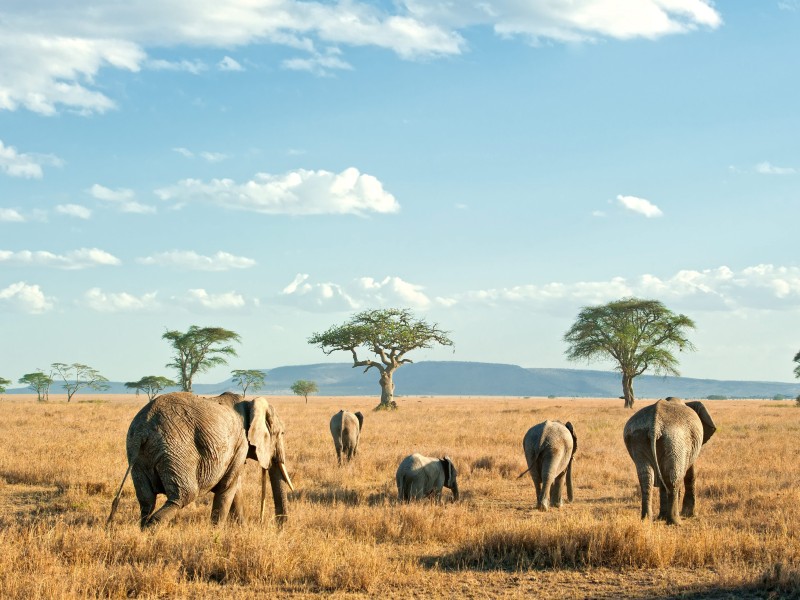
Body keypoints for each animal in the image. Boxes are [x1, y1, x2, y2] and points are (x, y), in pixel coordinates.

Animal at [107, 391, 294, 529]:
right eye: (281, 433)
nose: (279, 528)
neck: (250, 403)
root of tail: (143, 429)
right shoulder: (240, 443)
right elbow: (228, 487)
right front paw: (215, 534)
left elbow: (235, 488)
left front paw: (242, 530)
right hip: (176, 450)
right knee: (183, 495)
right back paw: (152, 531)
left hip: (137, 455)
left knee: (146, 500)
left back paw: (143, 530)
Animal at [623, 397, 716, 525]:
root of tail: (654, 424)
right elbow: (690, 473)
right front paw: (690, 515)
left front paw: (661, 517)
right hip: (675, 439)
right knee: (673, 478)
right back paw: (675, 522)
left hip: (638, 437)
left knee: (646, 478)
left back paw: (646, 520)